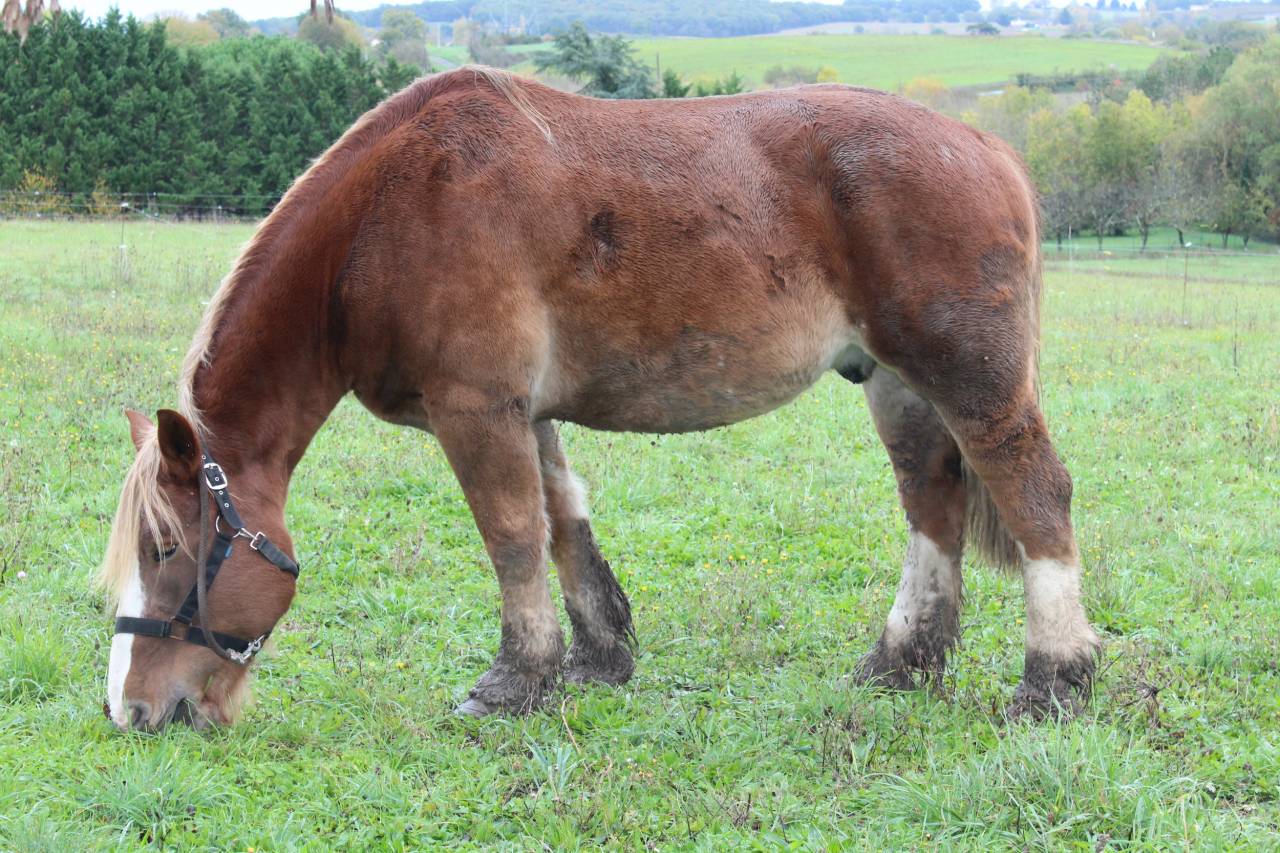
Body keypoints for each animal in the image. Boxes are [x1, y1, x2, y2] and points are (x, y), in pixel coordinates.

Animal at [99, 67, 1099, 731]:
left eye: (165, 548)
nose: (131, 707)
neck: (388, 214)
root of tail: (987, 147)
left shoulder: (475, 409)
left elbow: (511, 539)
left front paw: (514, 679)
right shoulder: (525, 413)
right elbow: (563, 524)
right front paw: (596, 656)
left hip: (974, 382)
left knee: (1037, 497)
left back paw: (1053, 677)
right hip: (896, 383)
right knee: (931, 503)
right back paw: (902, 662)